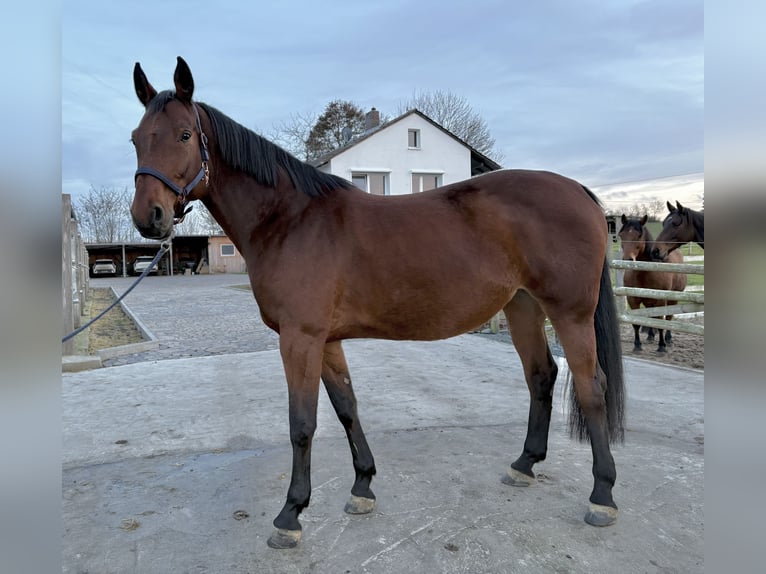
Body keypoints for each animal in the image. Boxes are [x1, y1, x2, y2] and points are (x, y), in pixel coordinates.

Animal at [129, 57, 625, 549]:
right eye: (136, 138)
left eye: (185, 135)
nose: (148, 216)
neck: (289, 220)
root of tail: (579, 192)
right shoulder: (326, 340)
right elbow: (347, 407)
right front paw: (362, 486)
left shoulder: (299, 339)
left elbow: (302, 424)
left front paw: (290, 514)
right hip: (523, 307)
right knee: (541, 376)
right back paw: (524, 465)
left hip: (570, 314)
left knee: (592, 387)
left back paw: (602, 495)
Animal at [618, 214, 687, 353]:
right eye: (621, 235)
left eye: (639, 235)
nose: (628, 260)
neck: (645, 271)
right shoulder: (632, 299)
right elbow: (637, 323)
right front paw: (637, 345)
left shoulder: (660, 300)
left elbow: (661, 322)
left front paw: (661, 346)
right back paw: (650, 336)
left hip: (673, 298)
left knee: (669, 318)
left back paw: (668, 339)